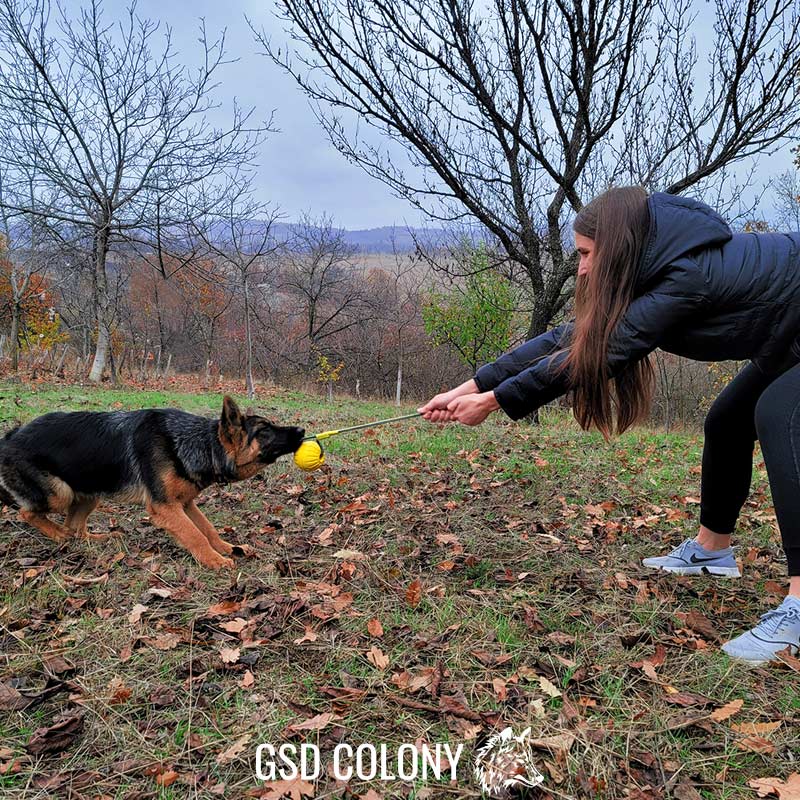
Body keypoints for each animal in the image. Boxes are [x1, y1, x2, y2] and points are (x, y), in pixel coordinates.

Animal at [0, 396, 304, 568]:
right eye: (264, 431)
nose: (302, 430)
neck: (197, 442)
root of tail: (9, 437)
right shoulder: (165, 508)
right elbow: (195, 535)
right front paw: (215, 561)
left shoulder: (185, 504)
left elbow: (207, 529)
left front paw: (227, 548)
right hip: (59, 494)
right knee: (28, 513)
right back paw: (57, 535)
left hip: (90, 493)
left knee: (75, 527)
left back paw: (98, 538)